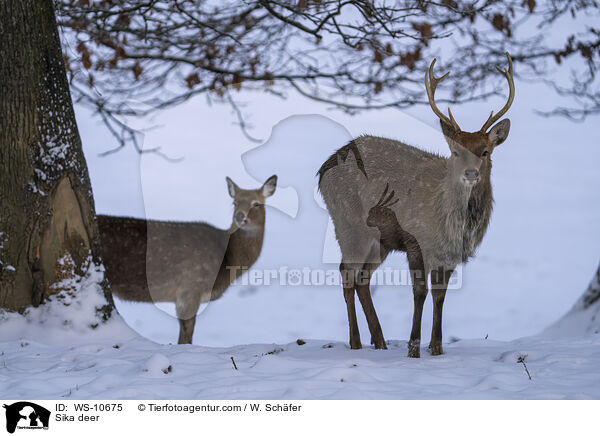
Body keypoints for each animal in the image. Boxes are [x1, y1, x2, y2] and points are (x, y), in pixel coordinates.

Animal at [98, 175, 276, 344]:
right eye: (235, 202)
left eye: (256, 203)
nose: (240, 216)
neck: (227, 260)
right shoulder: (191, 286)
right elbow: (186, 337)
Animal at [318, 52, 516, 358]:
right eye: (455, 152)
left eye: (485, 151)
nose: (471, 174)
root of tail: (323, 169)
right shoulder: (415, 241)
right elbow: (420, 292)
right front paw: (413, 348)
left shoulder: (448, 253)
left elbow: (440, 294)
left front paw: (436, 348)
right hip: (348, 222)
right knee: (347, 273)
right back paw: (356, 342)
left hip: (380, 240)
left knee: (363, 278)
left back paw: (379, 341)